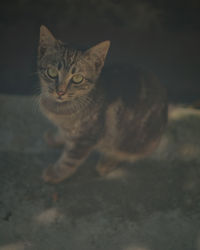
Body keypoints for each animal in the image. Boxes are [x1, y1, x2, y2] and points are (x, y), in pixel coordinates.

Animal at [37, 25, 167, 183]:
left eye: (78, 78)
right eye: (52, 72)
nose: (60, 92)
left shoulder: (85, 139)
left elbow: (69, 160)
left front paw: (55, 174)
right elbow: (62, 133)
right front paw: (55, 138)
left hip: (130, 141)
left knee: (125, 153)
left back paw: (106, 163)